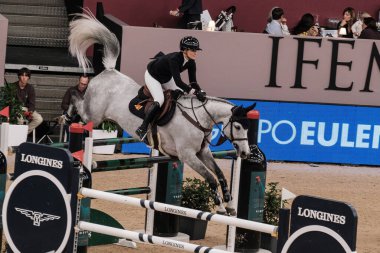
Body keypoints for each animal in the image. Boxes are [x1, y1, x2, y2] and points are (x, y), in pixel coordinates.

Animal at [68, 11, 255, 213]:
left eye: (247, 127)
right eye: (238, 126)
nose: (245, 153)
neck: (199, 118)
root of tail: (110, 71)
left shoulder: (202, 151)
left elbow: (220, 174)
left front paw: (229, 204)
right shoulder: (187, 155)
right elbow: (211, 179)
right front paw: (220, 207)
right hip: (94, 115)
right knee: (80, 105)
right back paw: (70, 116)